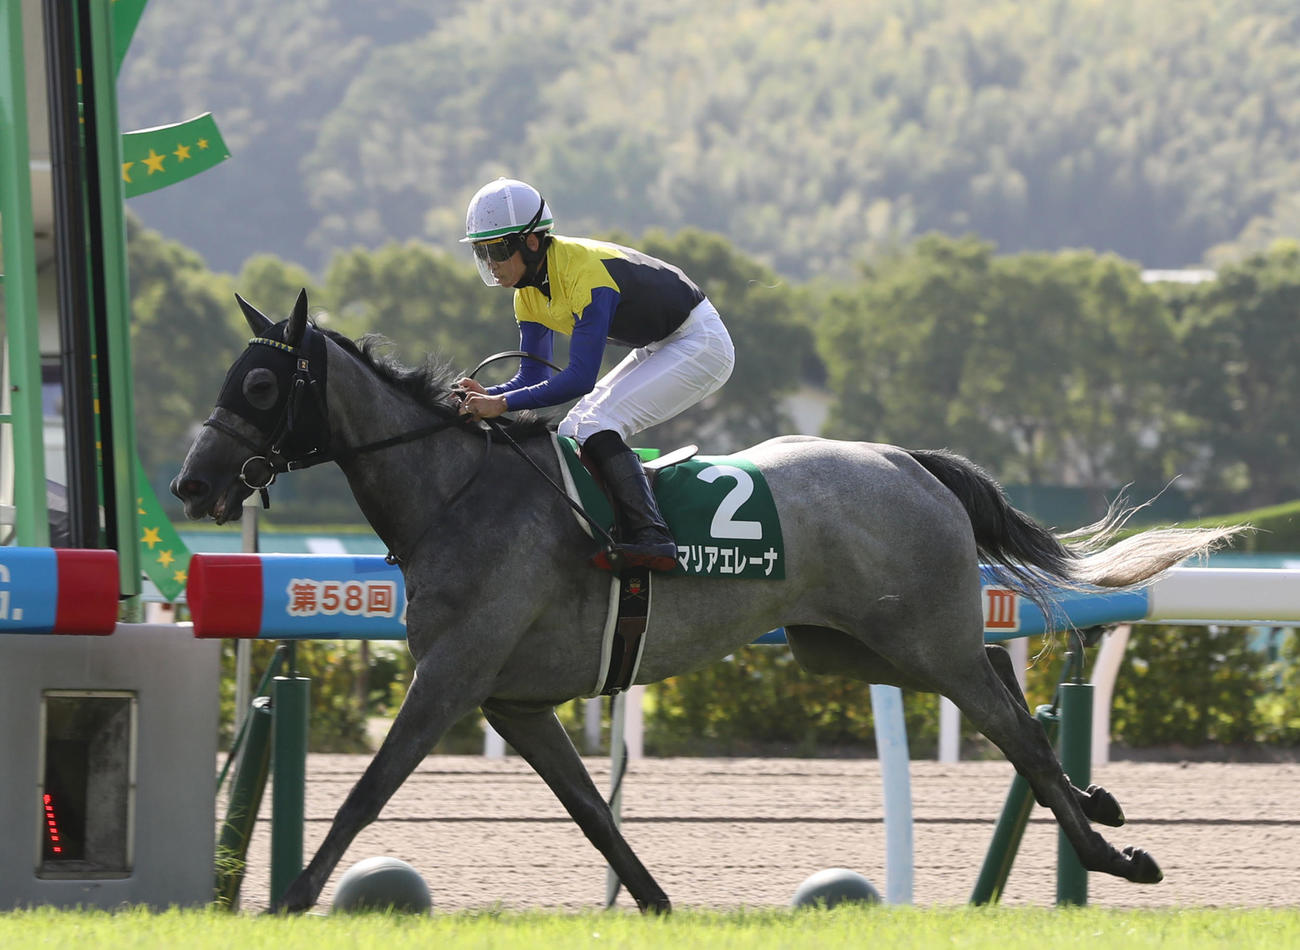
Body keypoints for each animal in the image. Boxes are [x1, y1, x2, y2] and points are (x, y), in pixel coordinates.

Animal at [172, 290, 1241, 912]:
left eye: (260, 385)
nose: (193, 485)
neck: (456, 493)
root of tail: (906, 459)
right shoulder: (513, 701)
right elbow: (592, 815)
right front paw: (657, 903)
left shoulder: (452, 677)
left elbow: (366, 793)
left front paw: (287, 901)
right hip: (851, 644)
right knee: (998, 683)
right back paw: (1098, 803)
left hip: (910, 636)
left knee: (1010, 724)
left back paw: (1115, 856)